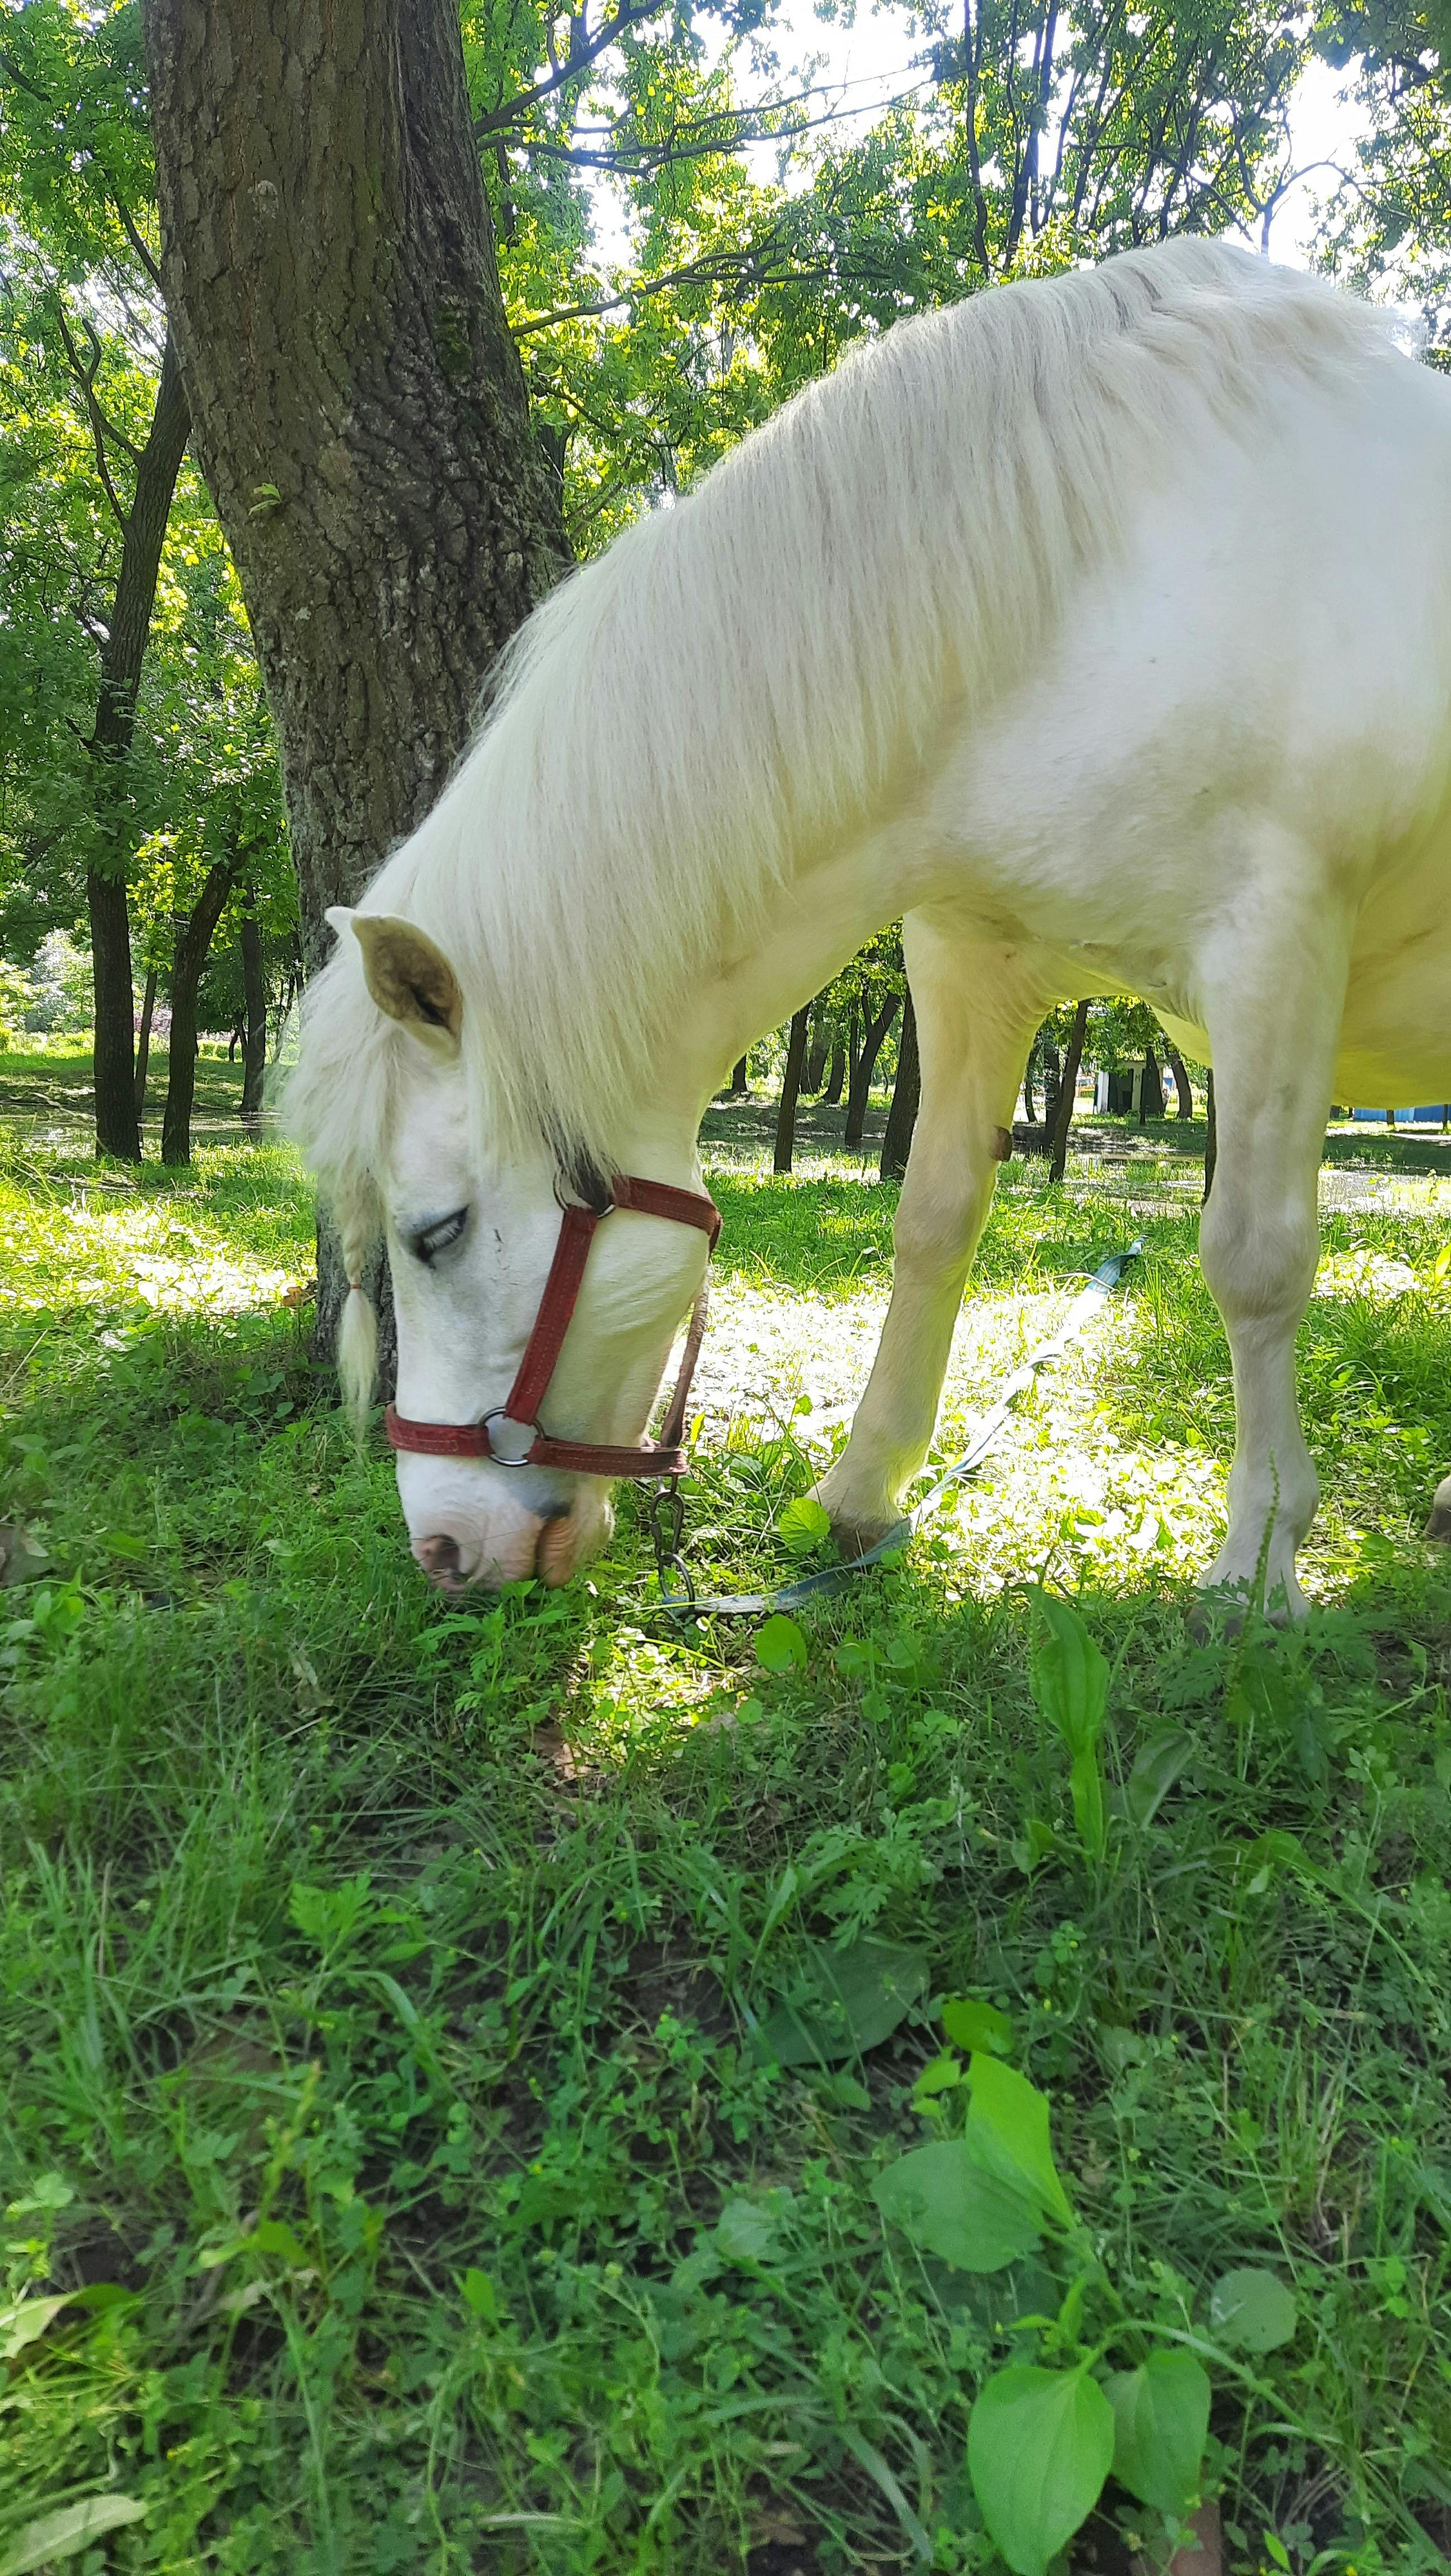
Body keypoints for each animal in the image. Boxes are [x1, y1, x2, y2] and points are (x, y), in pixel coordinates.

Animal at [289, 237, 1451, 1607]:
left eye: (438, 1233)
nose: (445, 1549)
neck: (1096, 576)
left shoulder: (1273, 945)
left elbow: (1255, 1259)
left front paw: (1260, 1553)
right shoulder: (965, 957)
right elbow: (932, 1218)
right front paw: (859, 1492)